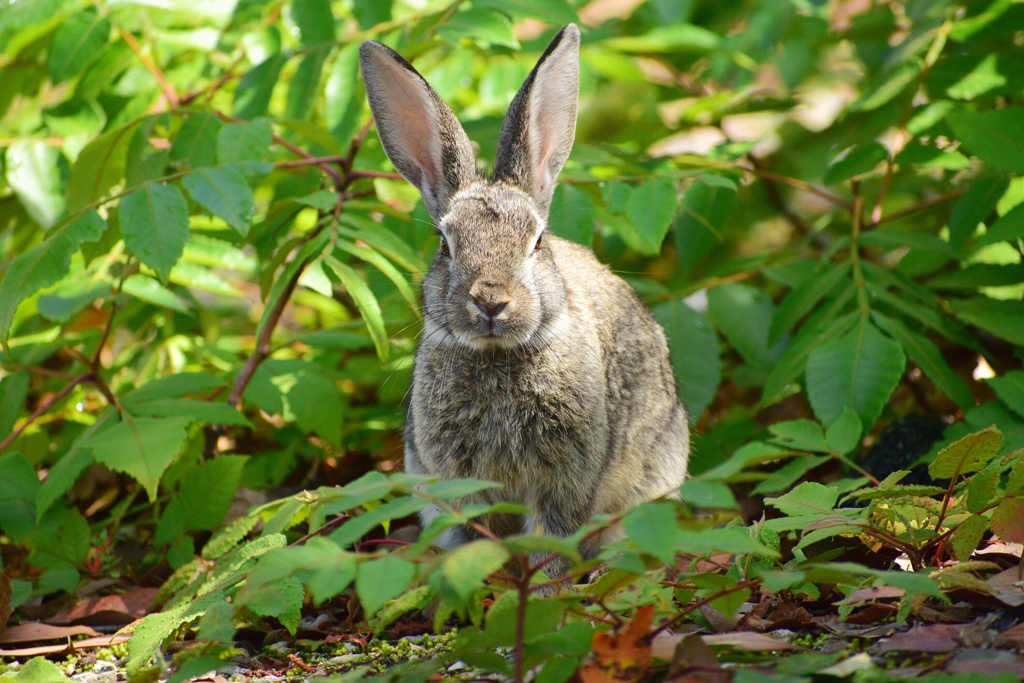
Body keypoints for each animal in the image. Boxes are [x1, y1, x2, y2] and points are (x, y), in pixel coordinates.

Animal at [360, 24, 688, 573]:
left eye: (536, 242)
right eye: (445, 245)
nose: (491, 301)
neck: (497, 356)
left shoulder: (564, 480)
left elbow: (552, 539)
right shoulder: (457, 480)